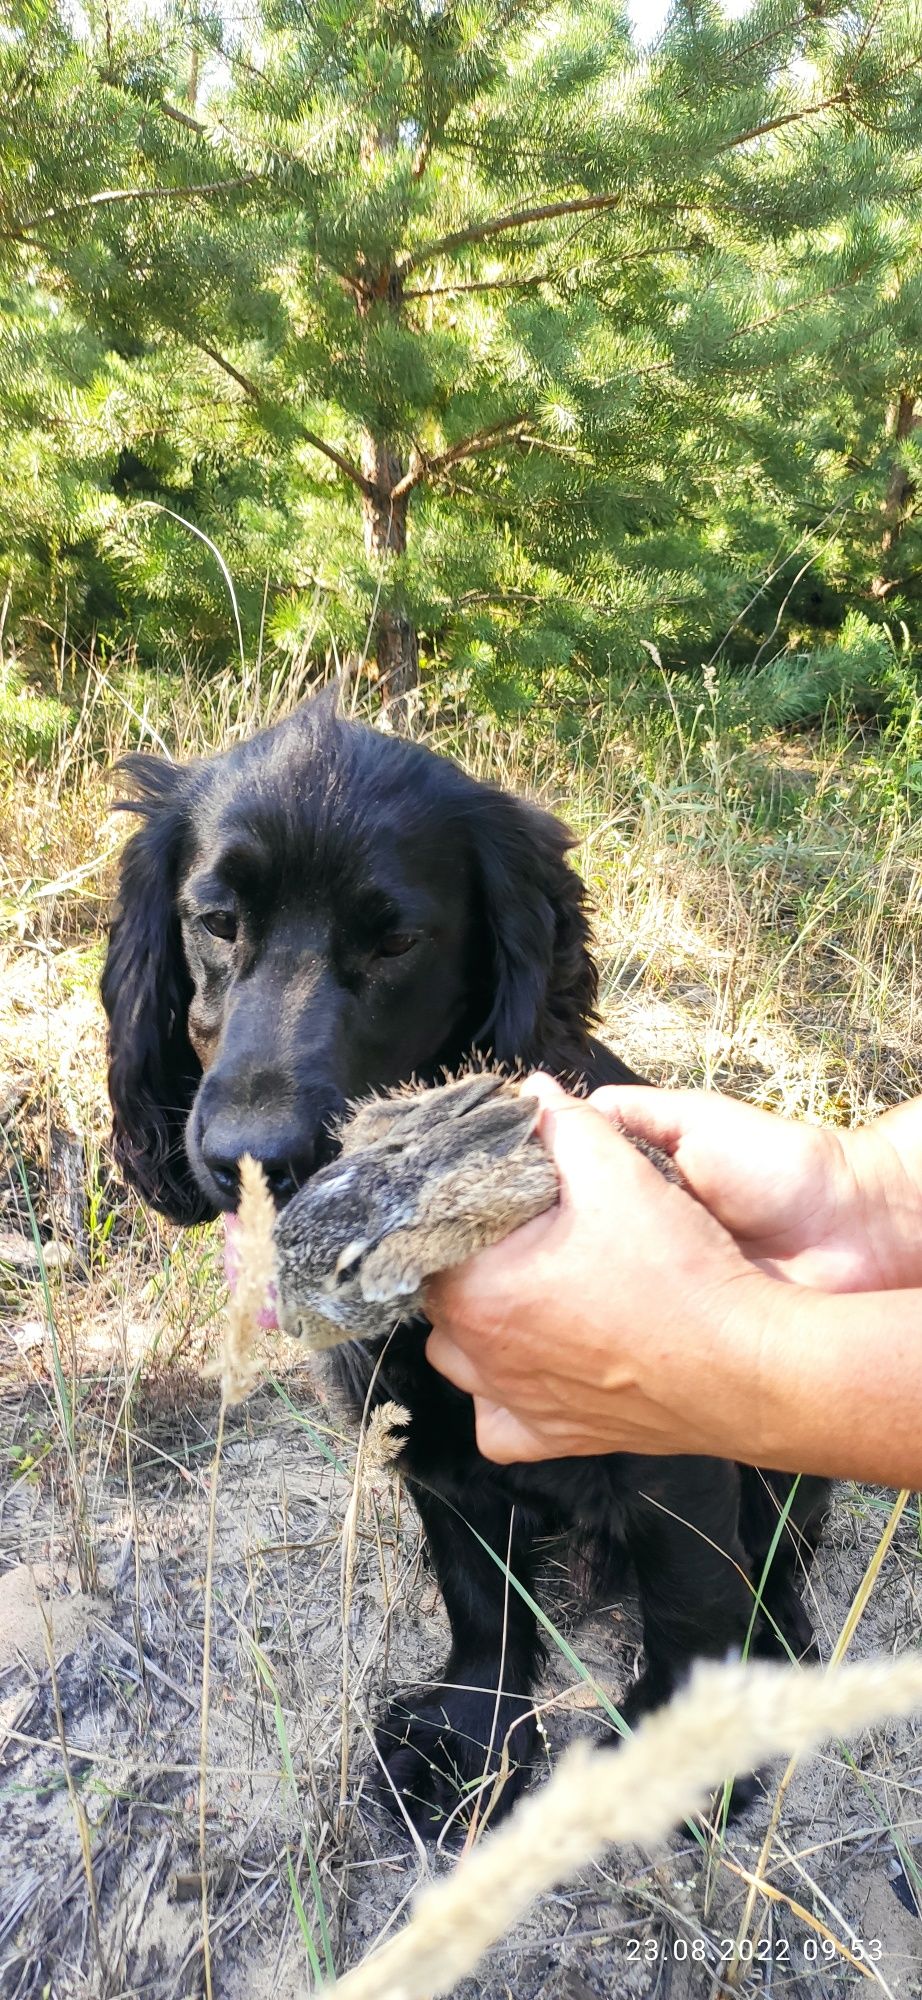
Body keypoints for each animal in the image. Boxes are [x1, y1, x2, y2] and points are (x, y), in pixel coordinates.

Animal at [100, 696, 828, 1832]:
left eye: (397, 938)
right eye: (214, 920)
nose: (248, 1159)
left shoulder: (678, 1441)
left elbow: (691, 1597)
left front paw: (686, 1749)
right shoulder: (434, 1448)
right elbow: (480, 1597)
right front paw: (470, 1738)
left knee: (778, 1552)